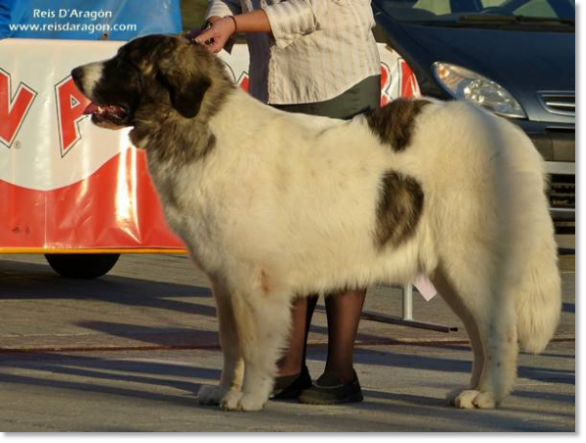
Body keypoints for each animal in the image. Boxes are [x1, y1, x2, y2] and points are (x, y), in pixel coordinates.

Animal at [70, 35, 560, 412]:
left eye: (126, 61)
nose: (74, 72)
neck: (201, 128)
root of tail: (508, 134)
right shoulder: (225, 281)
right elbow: (231, 344)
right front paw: (225, 390)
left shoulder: (255, 282)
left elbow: (256, 344)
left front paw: (249, 398)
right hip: (450, 272)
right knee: (479, 335)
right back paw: (471, 390)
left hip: (469, 265)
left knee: (499, 332)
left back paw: (488, 396)